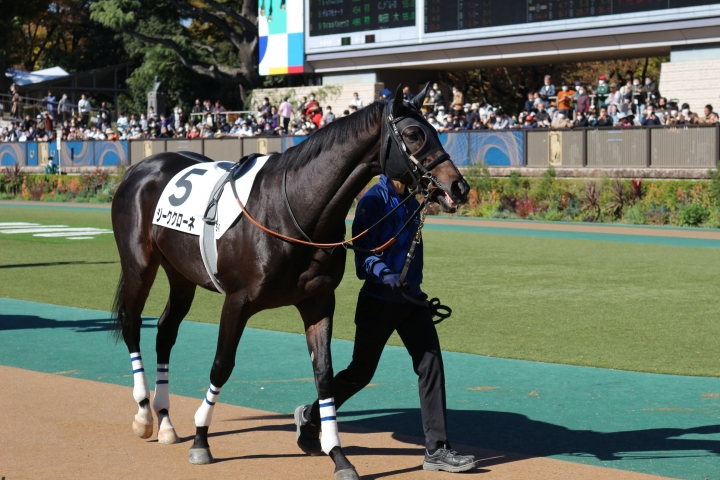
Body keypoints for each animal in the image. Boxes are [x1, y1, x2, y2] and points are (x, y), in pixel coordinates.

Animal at [110, 84, 469, 479]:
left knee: (165, 330)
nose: (459, 186)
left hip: (181, 274)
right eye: (414, 134)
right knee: (132, 325)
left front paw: (337, 454)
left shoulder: (318, 302)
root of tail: (142, 167)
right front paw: (202, 439)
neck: (290, 209)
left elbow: (325, 375)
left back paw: (165, 419)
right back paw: (145, 414)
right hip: (140, 265)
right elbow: (222, 364)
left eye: (436, 130)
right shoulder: (237, 301)